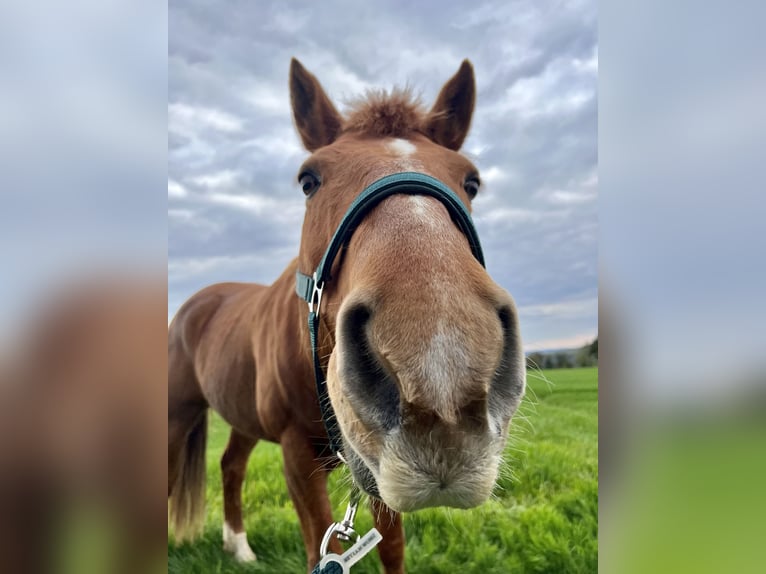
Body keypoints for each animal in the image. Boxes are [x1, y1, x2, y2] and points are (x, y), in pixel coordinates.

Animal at [168, 58, 528, 574]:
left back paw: (239, 548)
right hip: (176, 415)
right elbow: (322, 545)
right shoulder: (298, 458)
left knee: (230, 466)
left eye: (471, 182)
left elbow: (391, 546)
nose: (439, 368)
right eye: (308, 180)